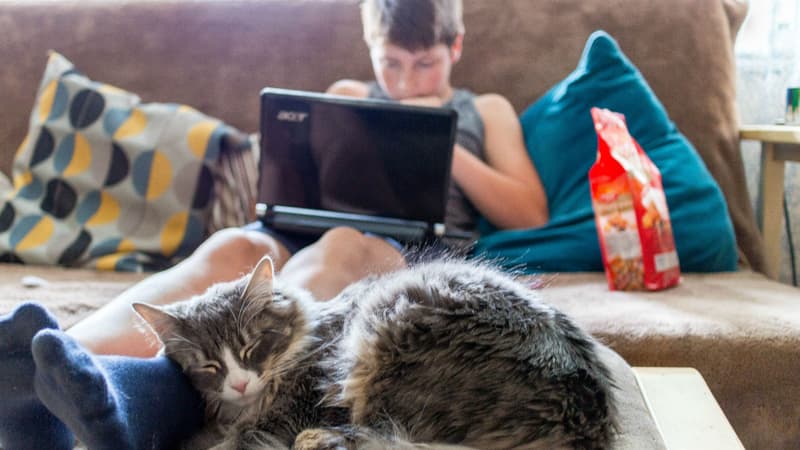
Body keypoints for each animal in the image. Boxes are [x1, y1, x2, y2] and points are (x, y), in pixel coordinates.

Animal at [133, 255, 620, 448]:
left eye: (252, 346)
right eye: (210, 365)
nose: (238, 382)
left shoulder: (298, 405)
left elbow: (238, 440)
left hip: (383, 340)